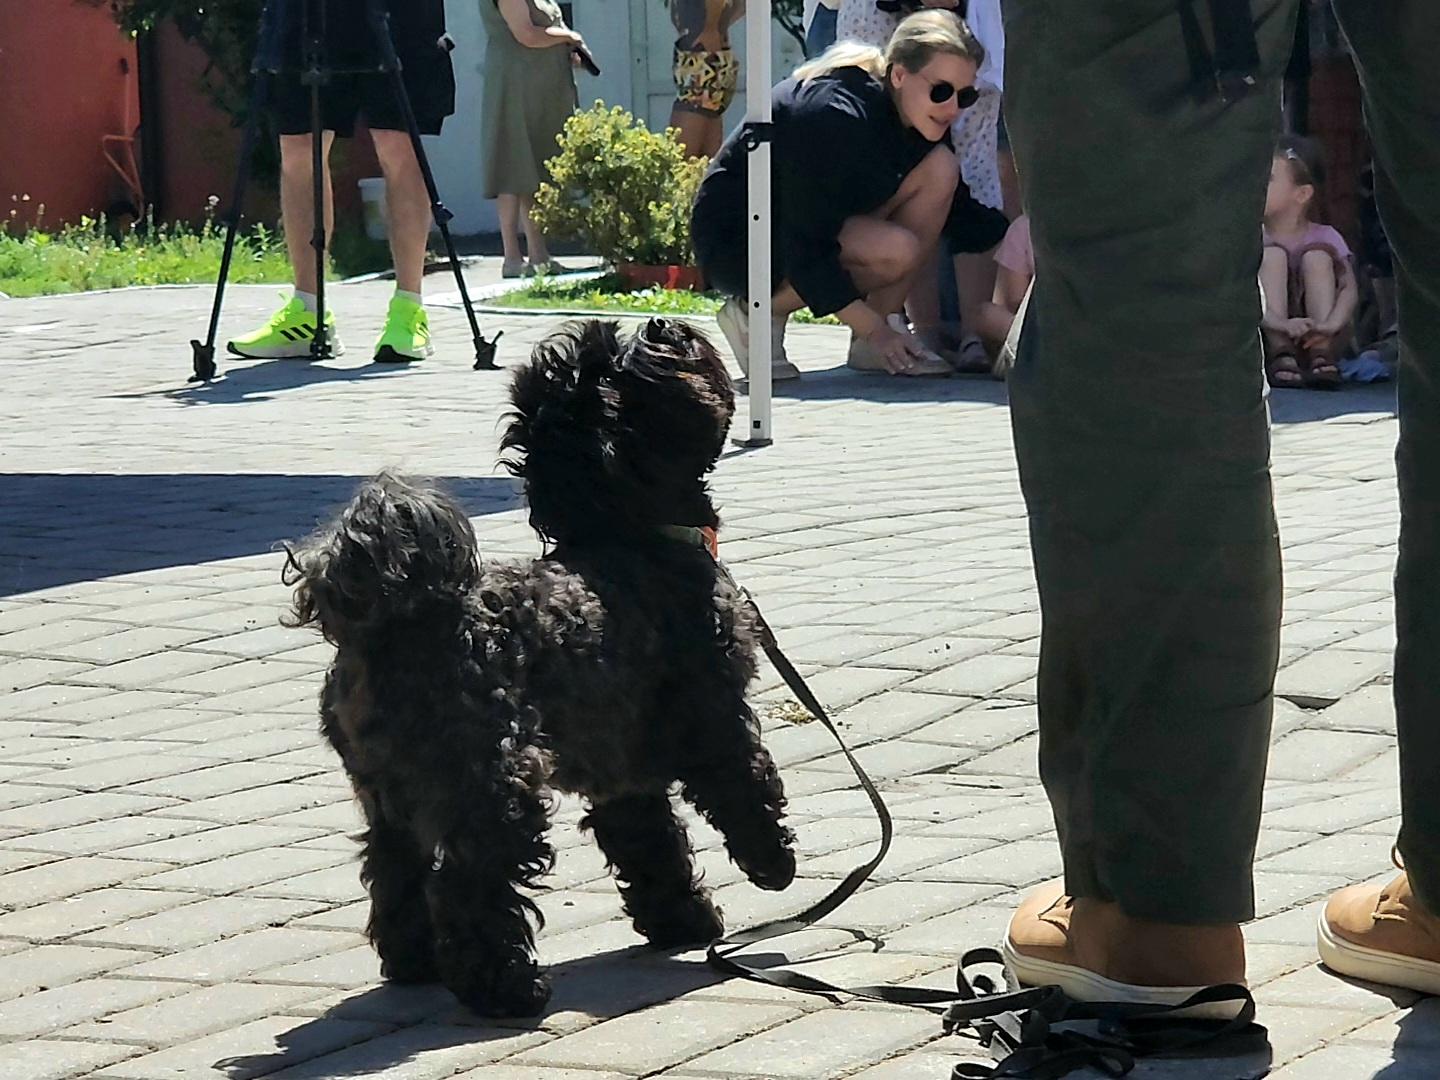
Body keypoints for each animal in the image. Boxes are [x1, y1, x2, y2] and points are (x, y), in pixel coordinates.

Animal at [280, 316, 800, 1019]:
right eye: (632, 376)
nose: (663, 322)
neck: (631, 533)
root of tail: (391, 622)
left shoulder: (623, 771)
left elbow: (651, 845)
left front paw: (681, 921)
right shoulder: (713, 714)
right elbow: (746, 785)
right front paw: (772, 865)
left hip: (388, 797)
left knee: (394, 872)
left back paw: (415, 963)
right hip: (494, 783)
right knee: (468, 884)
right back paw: (505, 989)